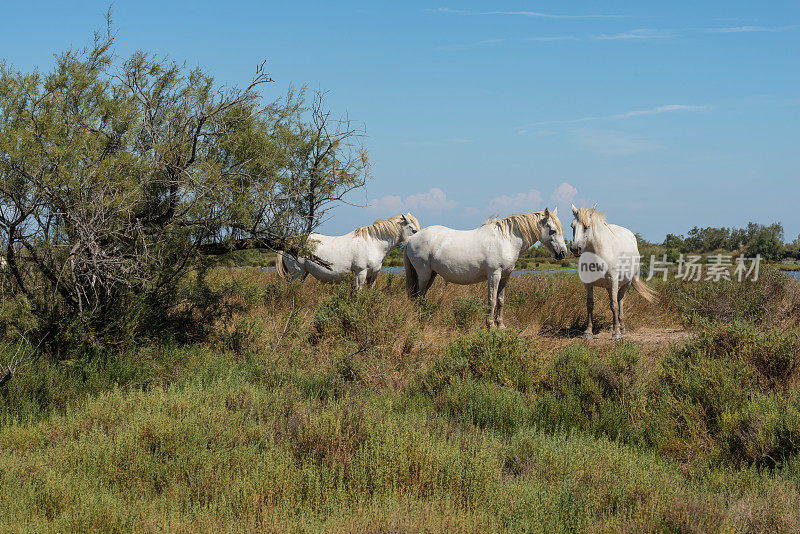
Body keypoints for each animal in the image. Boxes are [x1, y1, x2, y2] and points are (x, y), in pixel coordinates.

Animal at [276, 215, 422, 292]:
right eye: (414, 230)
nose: (417, 243)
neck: (373, 244)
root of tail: (289, 242)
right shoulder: (360, 273)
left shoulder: (373, 275)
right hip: (297, 273)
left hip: (302, 273)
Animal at [406, 210, 568, 328]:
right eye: (553, 230)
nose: (563, 253)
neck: (506, 240)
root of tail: (411, 239)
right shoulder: (494, 275)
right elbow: (492, 300)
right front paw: (490, 325)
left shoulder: (505, 276)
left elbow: (501, 300)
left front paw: (500, 325)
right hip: (424, 273)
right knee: (418, 296)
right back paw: (420, 319)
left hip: (432, 274)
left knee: (421, 296)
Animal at [568, 205, 656, 344]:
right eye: (572, 226)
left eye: (587, 226)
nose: (575, 249)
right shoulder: (588, 284)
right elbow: (590, 305)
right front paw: (588, 332)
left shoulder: (613, 281)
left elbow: (614, 305)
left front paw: (616, 334)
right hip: (609, 287)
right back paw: (613, 326)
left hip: (626, 283)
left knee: (620, 300)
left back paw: (621, 327)